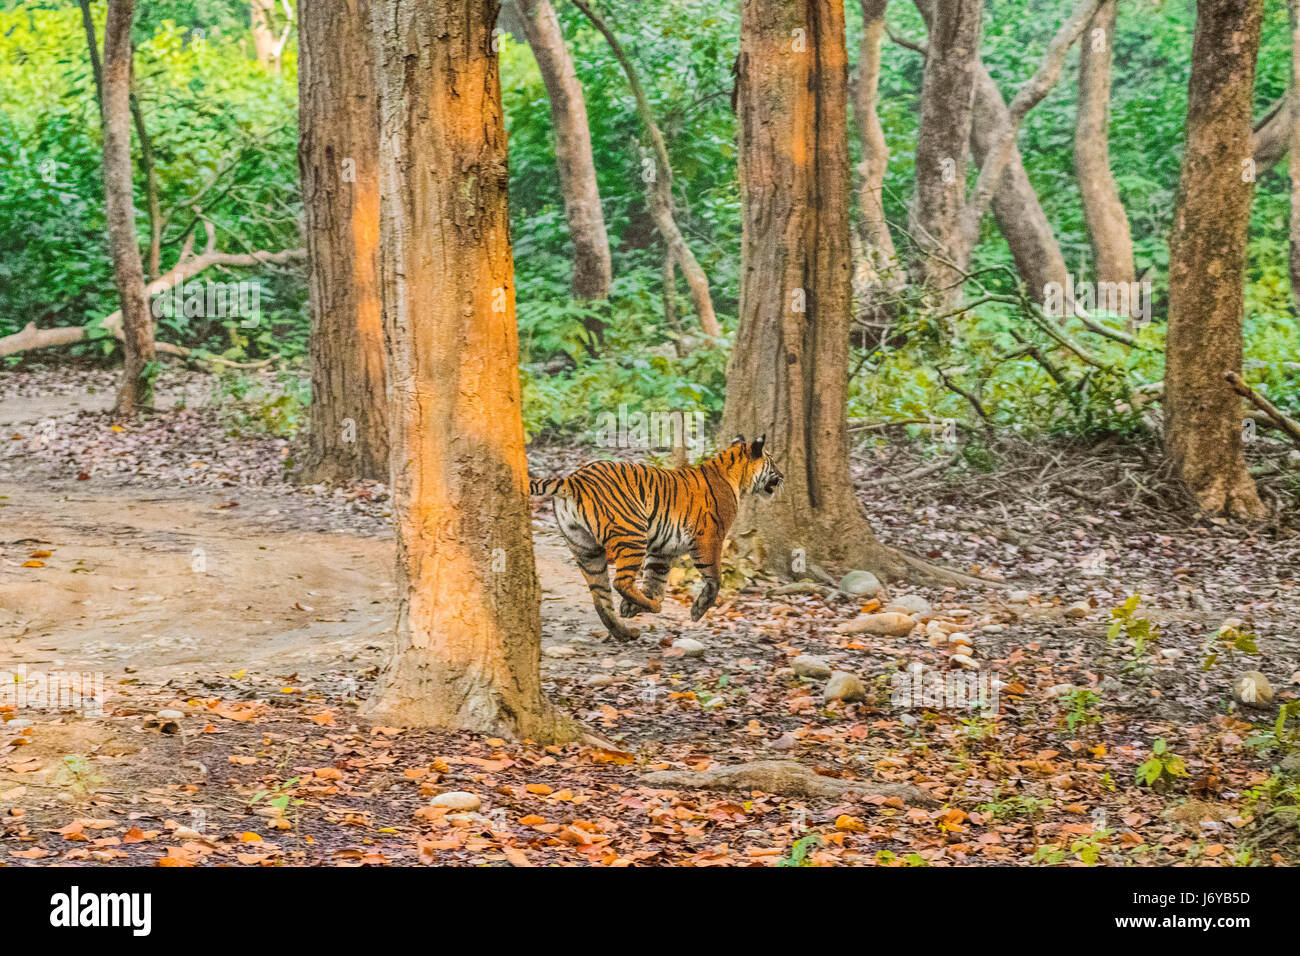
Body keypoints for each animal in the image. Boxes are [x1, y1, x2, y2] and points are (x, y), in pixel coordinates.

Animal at [529, 435, 783, 642]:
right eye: (772, 463)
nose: (782, 476)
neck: (734, 476)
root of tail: (573, 479)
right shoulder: (709, 538)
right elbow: (714, 580)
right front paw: (697, 611)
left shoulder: (663, 549)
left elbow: (655, 579)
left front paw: (631, 608)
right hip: (632, 534)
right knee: (621, 582)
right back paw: (652, 608)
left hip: (586, 549)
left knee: (601, 598)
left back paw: (626, 632)